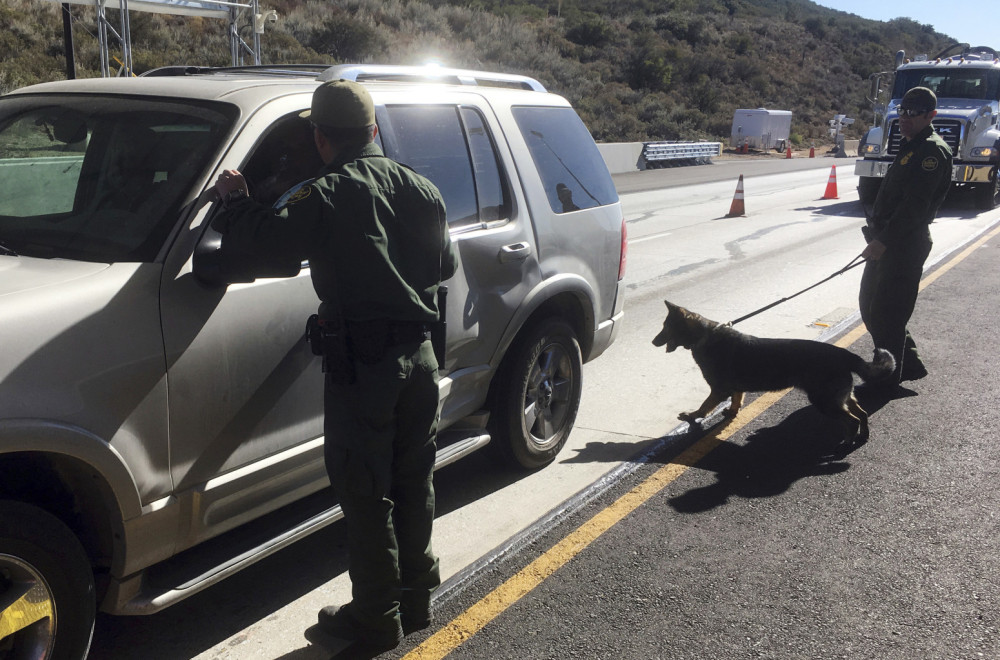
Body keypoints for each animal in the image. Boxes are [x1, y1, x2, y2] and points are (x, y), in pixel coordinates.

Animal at [652, 302, 896, 440]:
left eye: (665, 327)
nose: (653, 342)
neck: (704, 335)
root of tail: (844, 354)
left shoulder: (718, 390)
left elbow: (704, 407)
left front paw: (692, 416)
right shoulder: (734, 389)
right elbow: (736, 401)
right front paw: (731, 413)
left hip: (825, 401)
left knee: (852, 420)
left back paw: (846, 442)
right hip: (842, 398)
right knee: (861, 414)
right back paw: (862, 436)